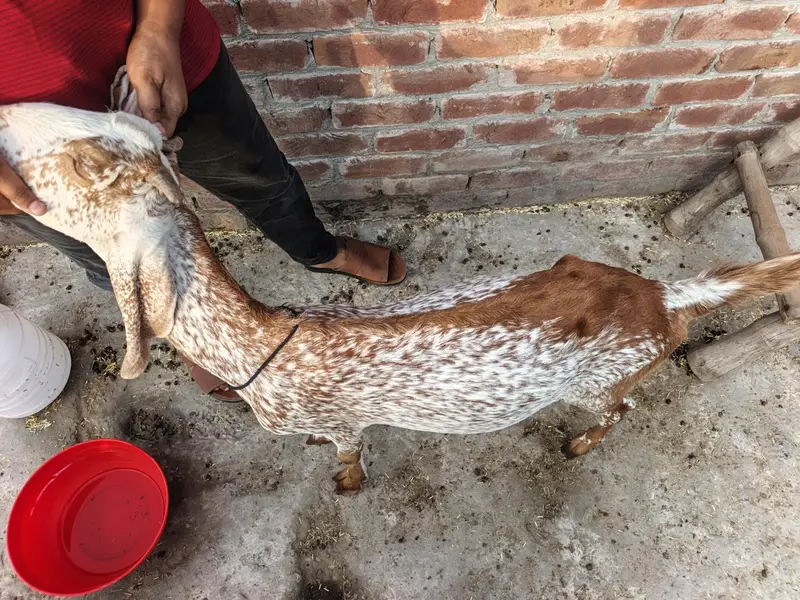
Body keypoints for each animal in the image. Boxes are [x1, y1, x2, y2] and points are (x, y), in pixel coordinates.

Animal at [3, 102, 800, 494]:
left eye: (77, 167)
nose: (8, 120)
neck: (259, 346)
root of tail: (666, 294)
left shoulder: (340, 423)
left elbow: (349, 455)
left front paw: (348, 485)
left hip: (606, 379)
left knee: (620, 409)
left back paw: (579, 442)